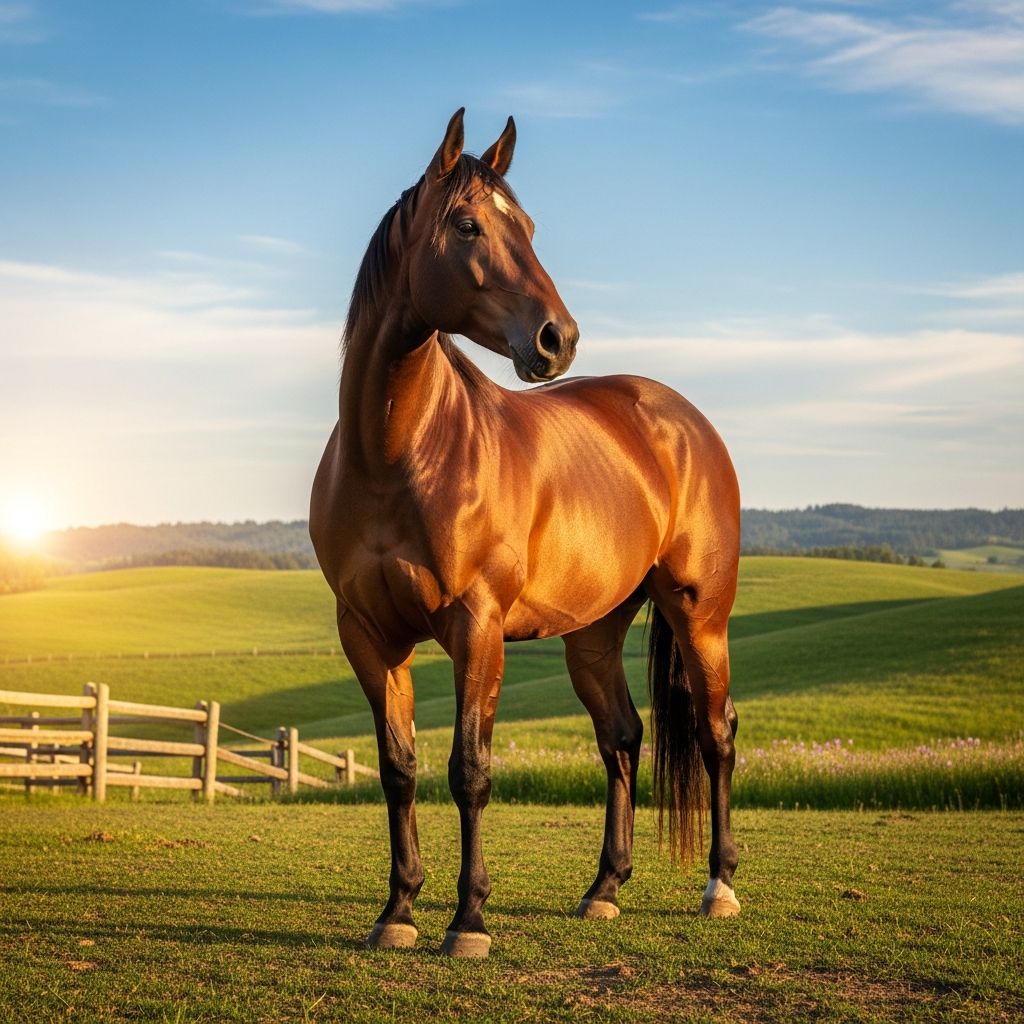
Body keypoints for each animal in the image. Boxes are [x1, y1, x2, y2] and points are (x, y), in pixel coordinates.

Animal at [310, 109, 741, 958]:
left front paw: (469, 921)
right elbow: (398, 767)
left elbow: (469, 770)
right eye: (468, 225)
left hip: (699, 617)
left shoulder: (477, 628)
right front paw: (398, 910)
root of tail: (684, 422)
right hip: (594, 633)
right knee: (623, 739)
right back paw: (605, 889)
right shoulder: (367, 634)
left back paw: (720, 886)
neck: (397, 452)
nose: (556, 340)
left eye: (531, 227)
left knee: (716, 737)